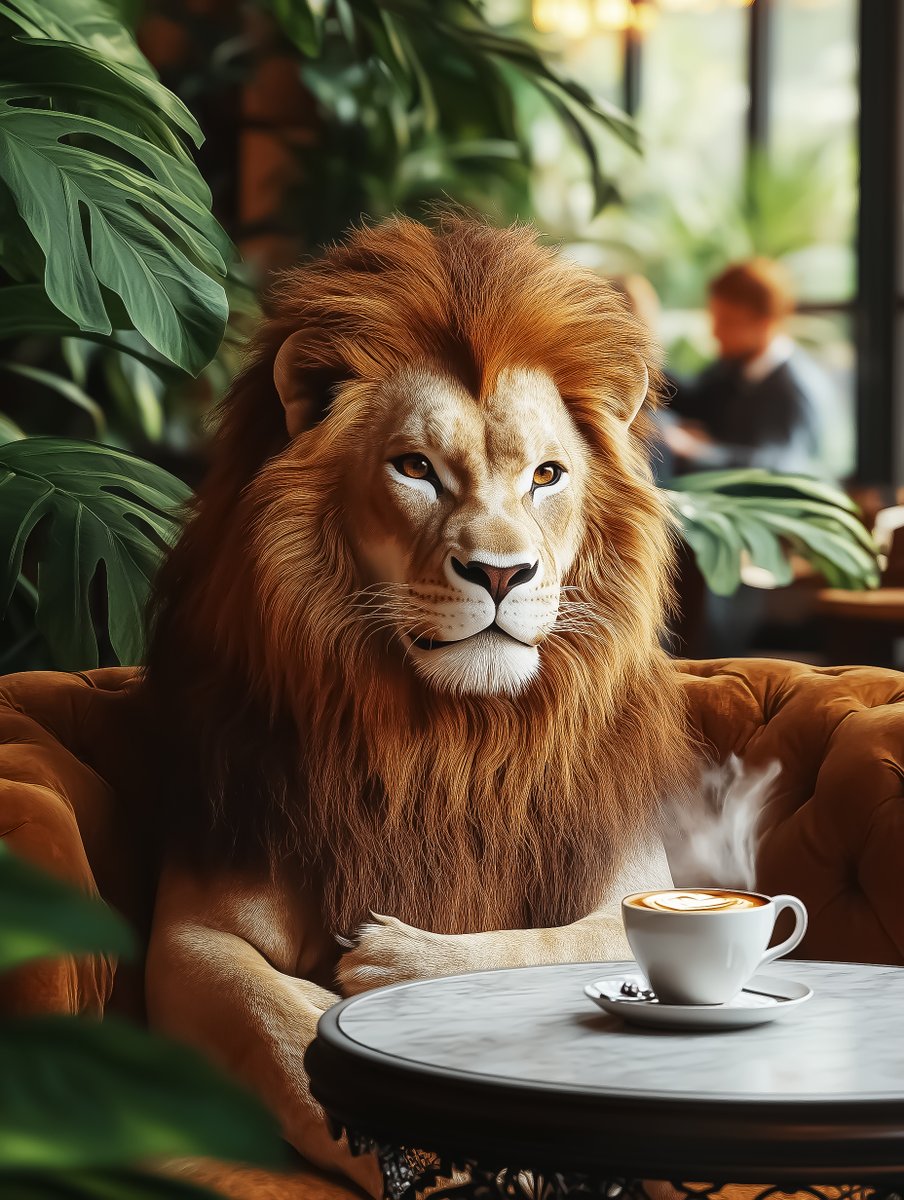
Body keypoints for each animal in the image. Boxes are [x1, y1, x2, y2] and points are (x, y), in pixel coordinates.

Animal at [142, 215, 691, 1196]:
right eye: (416, 469)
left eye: (547, 475)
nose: (503, 573)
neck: (450, 738)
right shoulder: (191, 937)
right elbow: (288, 1033)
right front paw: (425, 1153)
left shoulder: (633, 887)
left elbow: (545, 944)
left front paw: (405, 961)